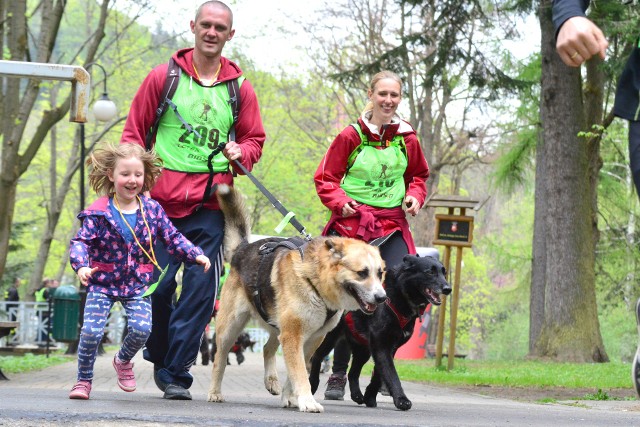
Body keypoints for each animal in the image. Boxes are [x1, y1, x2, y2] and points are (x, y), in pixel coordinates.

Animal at [209, 186, 384, 412]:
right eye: (362, 273)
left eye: (380, 273)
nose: (382, 298)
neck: (314, 282)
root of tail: (242, 248)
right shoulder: (293, 336)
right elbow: (300, 373)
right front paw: (307, 400)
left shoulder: (311, 338)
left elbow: (296, 372)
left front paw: (290, 397)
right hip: (230, 329)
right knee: (219, 359)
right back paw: (214, 392)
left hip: (278, 326)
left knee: (267, 348)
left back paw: (271, 380)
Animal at [308, 254, 450, 412]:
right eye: (430, 272)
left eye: (444, 273)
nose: (448, 289)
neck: (398, 296)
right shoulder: (381, 346)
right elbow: (392, 374)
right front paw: (402, 400)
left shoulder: (388, 348)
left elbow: (379, 374)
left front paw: (370, 397)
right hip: (329, 338)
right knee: (316, 357)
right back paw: (312, 385)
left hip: (363, 349)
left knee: (353, 373)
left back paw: (357, 395)